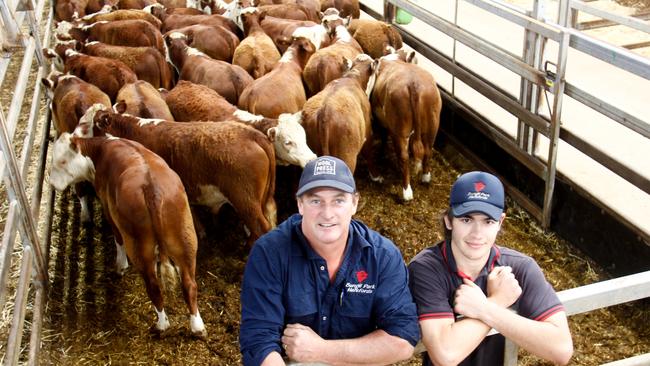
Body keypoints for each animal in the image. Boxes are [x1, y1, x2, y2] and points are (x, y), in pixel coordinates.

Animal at [370, 49, 440, 200]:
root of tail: (413, 84)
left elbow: (384, 136)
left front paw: (381, 153)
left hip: (400, 130)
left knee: (403, 156)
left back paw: (407, 192)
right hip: (433, 125)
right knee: (428, 149)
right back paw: (425, 177)